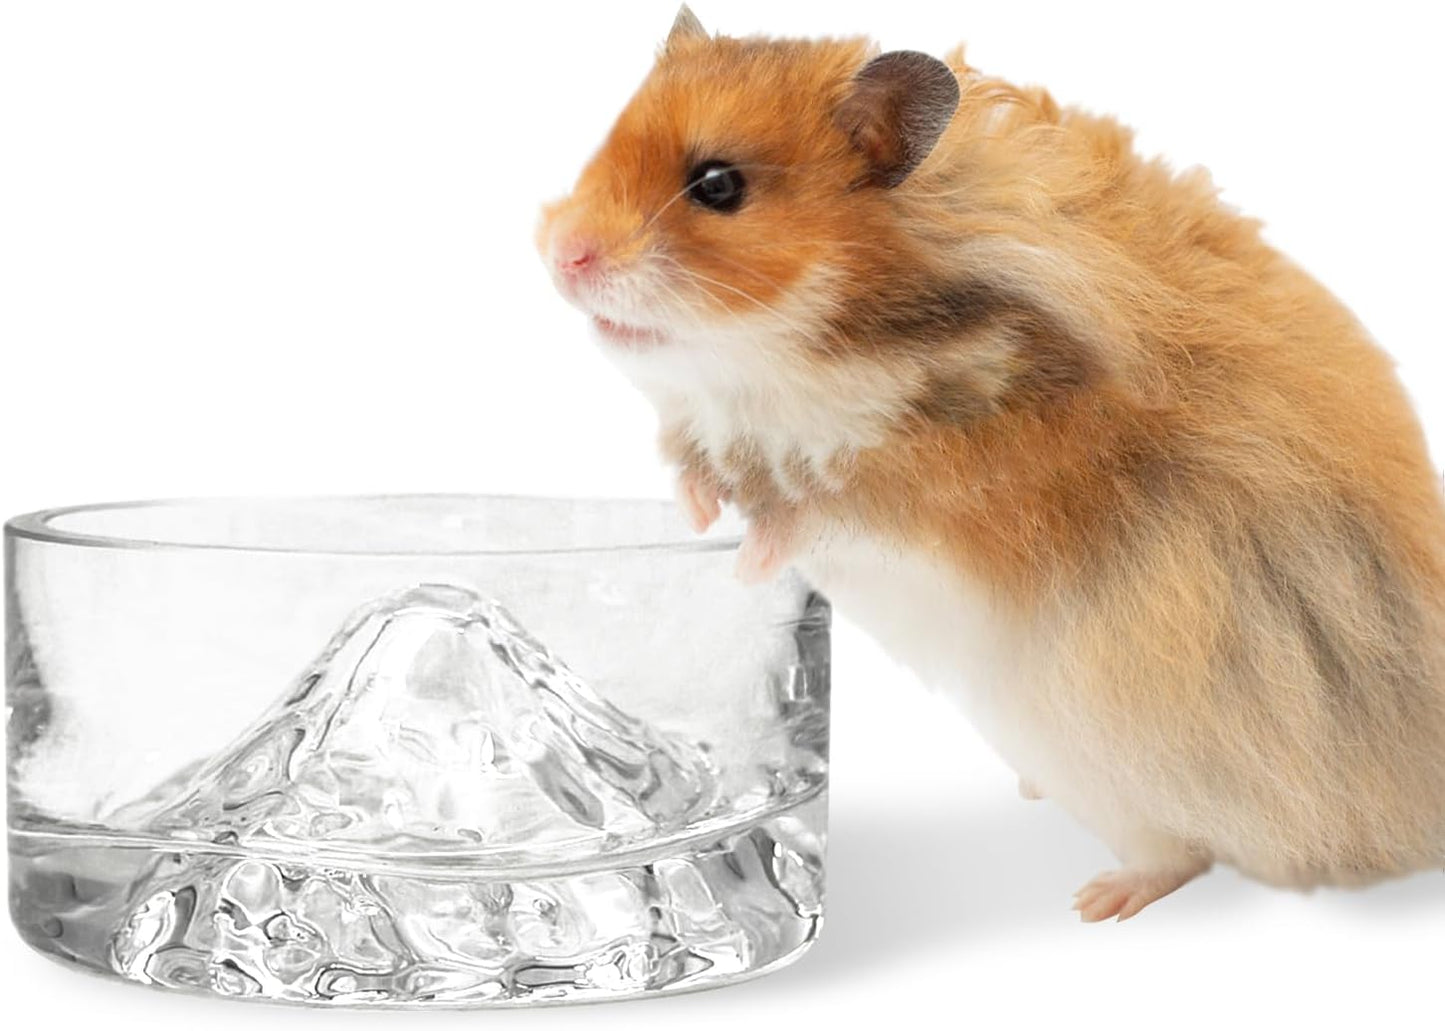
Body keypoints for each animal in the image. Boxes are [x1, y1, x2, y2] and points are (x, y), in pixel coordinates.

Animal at [537, 6, 1445, 920]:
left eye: (718, 186)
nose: (561, 254)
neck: (801, 353)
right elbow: (703, 468)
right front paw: (695, 512)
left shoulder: (961, 489)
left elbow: (826, 508)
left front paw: (747, 558)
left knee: (1180, 850)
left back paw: (1097, 901)